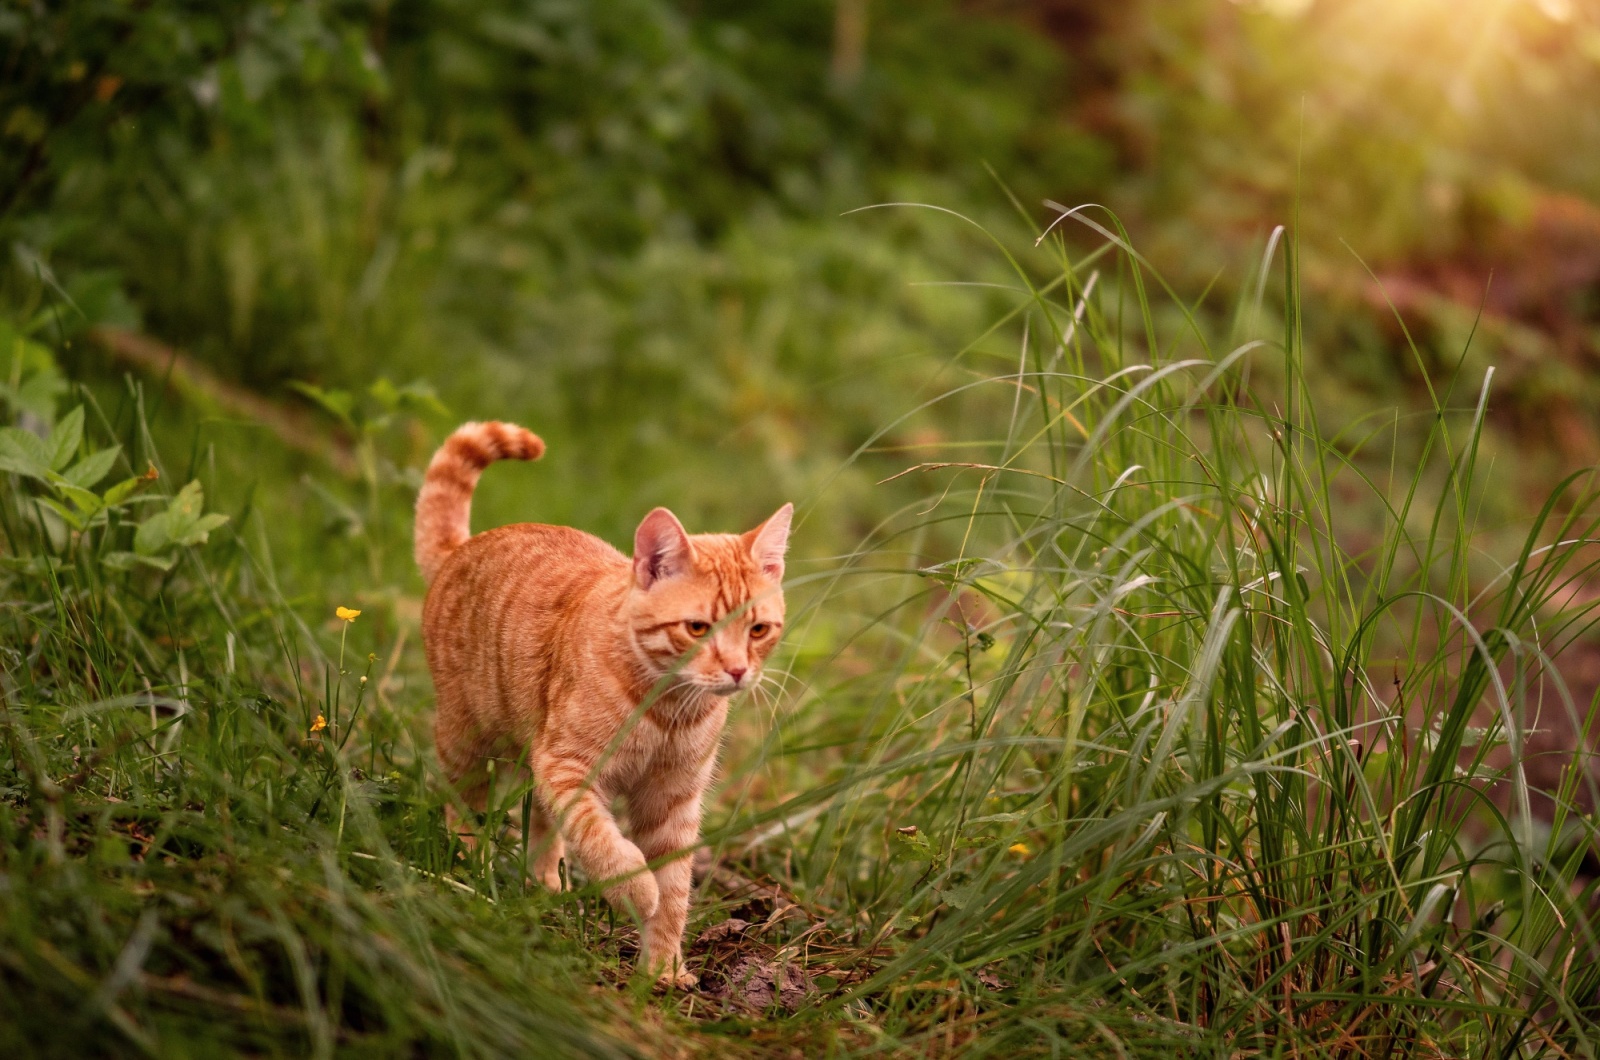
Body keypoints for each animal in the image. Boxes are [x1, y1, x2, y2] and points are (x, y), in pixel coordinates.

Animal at [412, 422, 787, 986]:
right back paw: (468, 862)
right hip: (469, 738)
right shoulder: (569, 767)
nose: (739, 670)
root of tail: (464, 547)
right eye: (698, 628)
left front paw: (664, 970)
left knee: (541, 823)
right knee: (464, 800)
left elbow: (675, 889)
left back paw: (545, 885)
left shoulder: (672, 801)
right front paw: (636, 892)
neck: (668, 710)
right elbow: (606, 844)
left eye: (758, 630)